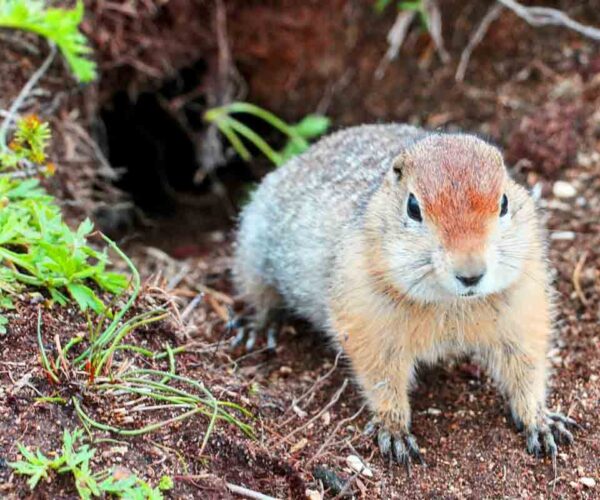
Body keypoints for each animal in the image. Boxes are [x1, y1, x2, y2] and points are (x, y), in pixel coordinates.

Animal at [231, 124, 576, 464]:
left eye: (503, 203)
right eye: (413, 207)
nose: (470, 273)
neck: (450, 303)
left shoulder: (523, 304)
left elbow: (527, 366)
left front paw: (543, 422)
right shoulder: (367, 318)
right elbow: (381, 376)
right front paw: (395, 432)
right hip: (253, 245)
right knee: (259, 294)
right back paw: (256, 327)